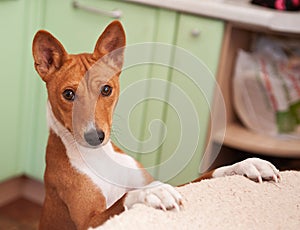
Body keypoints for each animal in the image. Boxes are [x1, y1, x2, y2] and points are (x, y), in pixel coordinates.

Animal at [31, 20, 280, 229]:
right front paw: (154, 192)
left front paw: (246, 165)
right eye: (68, 94)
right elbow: (125, 198)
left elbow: (208, 175)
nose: (94, 136)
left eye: (106, 89)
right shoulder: (87, 221)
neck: (100, 157)